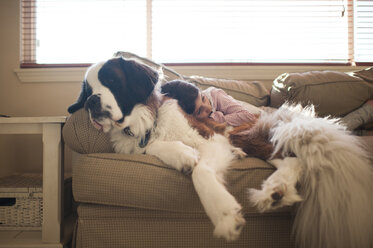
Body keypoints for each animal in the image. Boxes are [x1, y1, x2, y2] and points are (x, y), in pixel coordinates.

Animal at [67, 57, 247, 241]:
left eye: (111, 80)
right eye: (88, 91)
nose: (90, 101)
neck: (142, 124)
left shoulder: (211, 139)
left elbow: (201, 171)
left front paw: (224, 214)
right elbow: (152, 146)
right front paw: (183, 154)